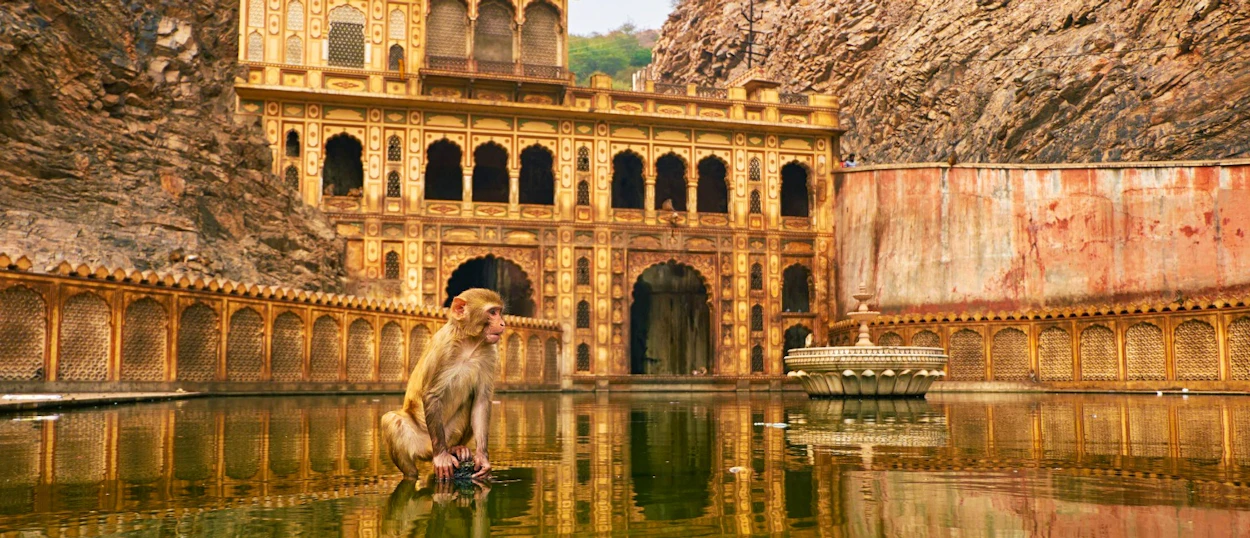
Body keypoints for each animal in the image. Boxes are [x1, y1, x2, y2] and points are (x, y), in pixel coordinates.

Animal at [382, 288, 505, 480]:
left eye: (499, 312)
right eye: (492, 312)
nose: (502, 323)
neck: (469, 342)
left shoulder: (489, 353)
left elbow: (481, 400)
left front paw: (482, 457)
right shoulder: (442, 349)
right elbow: (431, 394)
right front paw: (442, 457)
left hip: (448, 434)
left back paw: (456, 449)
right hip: (424, 442)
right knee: (392, 420)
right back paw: (419, 469)